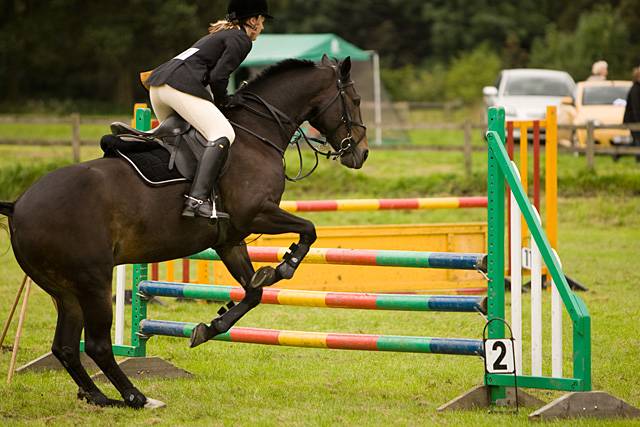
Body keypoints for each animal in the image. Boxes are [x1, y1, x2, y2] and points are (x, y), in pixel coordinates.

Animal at [0, 55, 370, 410]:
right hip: (92, 282)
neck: (256, 134)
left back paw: (98, 396)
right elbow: (309, 230)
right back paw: (137, 398)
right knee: (97, 345)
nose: (361, 153)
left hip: (65, 290)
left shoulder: (229, 238)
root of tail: (18, 205)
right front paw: (286, 265)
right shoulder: (256, 214)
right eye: (355, 99)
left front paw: (208, 328)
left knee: (64, 346)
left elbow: (253, 292)